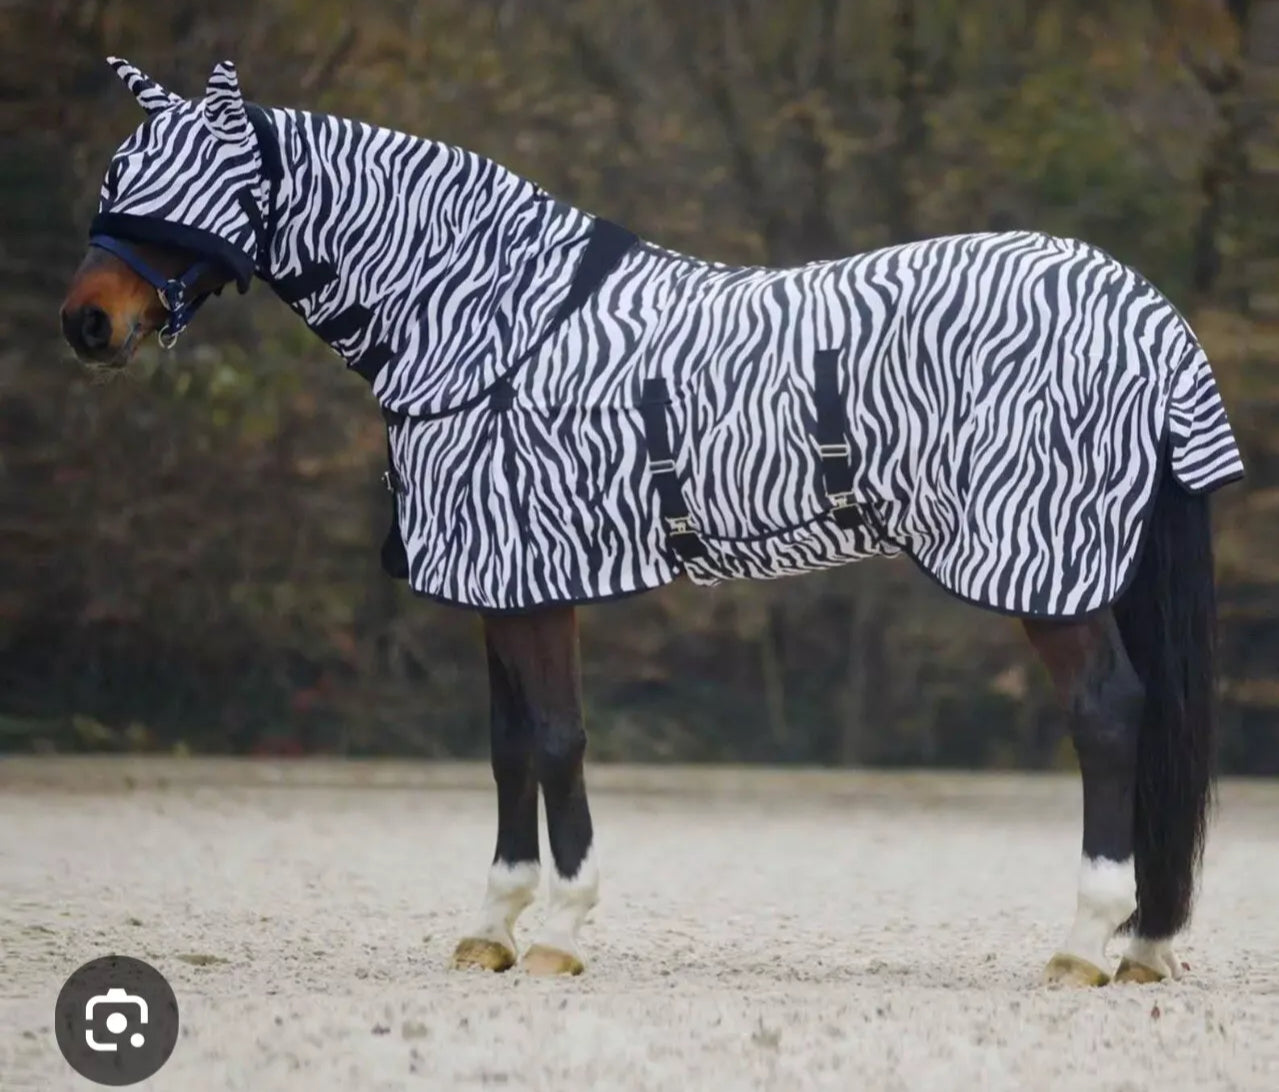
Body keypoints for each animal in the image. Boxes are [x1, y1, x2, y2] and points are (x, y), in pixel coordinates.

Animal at [62, 57, 1243, 985]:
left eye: (187, 190)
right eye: (115, 178)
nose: (87, 325)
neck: (490, 325)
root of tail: (1145, 314)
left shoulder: (534, 575)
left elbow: (556, 739)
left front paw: (560, 933)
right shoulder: (500, 584)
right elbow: (507, 747)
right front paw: (491, 928)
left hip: (1048, 568)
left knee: (1108, 717)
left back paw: (1086, 945)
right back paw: (1143, 945)